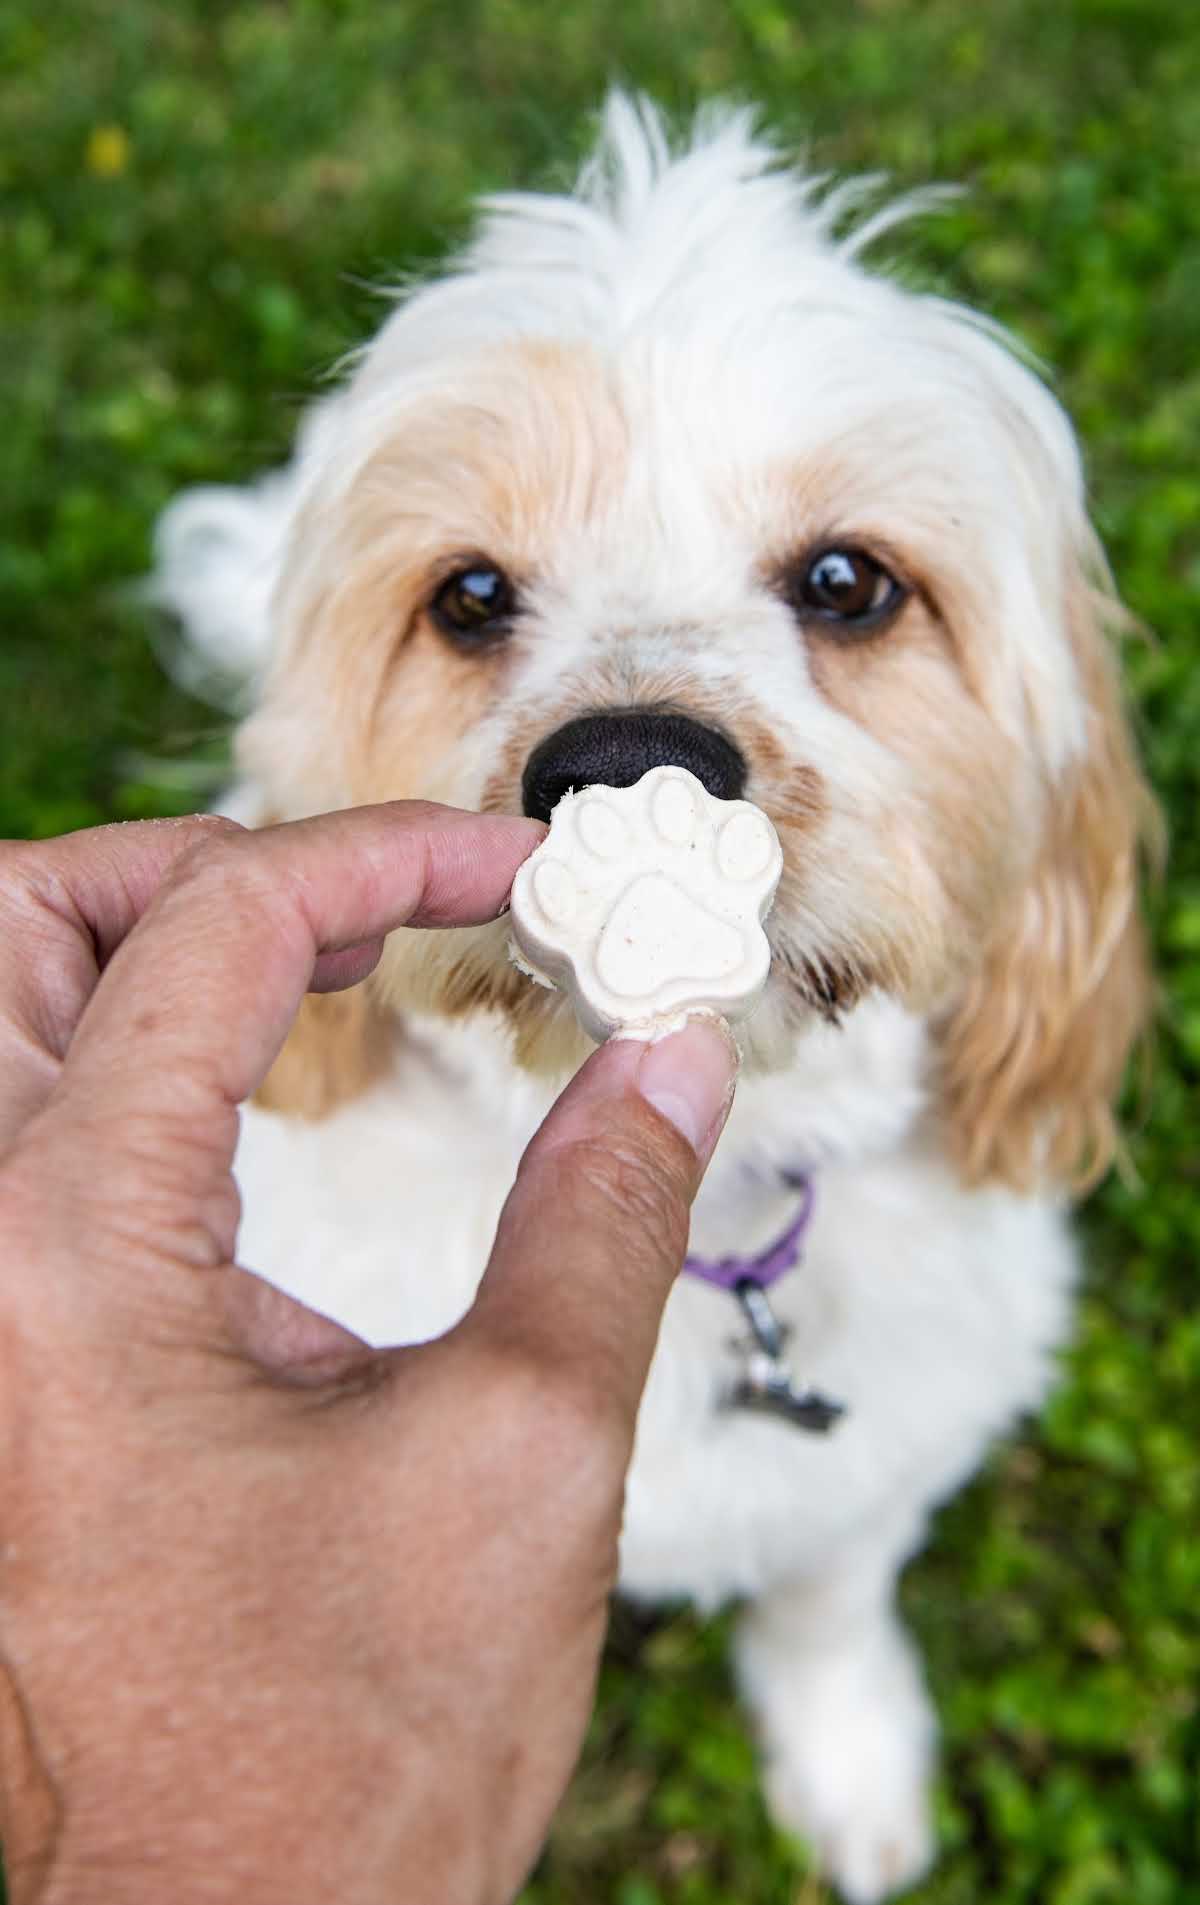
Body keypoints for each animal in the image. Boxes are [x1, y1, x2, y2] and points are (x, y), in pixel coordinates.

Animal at [152, 96, 1158, 1897]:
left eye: (849, 582)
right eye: (470, 596)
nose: (625, 761)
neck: (713, 1229)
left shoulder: (877, 1458)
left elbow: (827, 1600)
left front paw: (853, 1767)